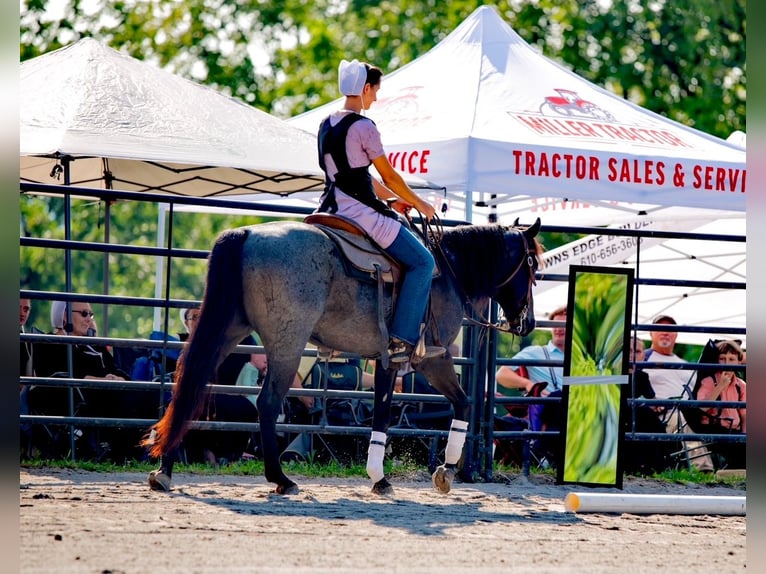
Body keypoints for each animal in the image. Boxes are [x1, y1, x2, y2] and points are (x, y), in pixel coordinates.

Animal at [147, 218, 544, 498]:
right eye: (531, 267)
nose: (528, 323)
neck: (447, 272)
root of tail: (244, 234)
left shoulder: (387, 360)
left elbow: (382, 414)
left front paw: (379, 478)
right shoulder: (432, 358)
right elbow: (462, 404)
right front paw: (445, 471)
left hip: (228, 330)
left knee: (189, 386)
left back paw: (164, 470)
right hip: (287, 344)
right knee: (267, 403)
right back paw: (281, 478)